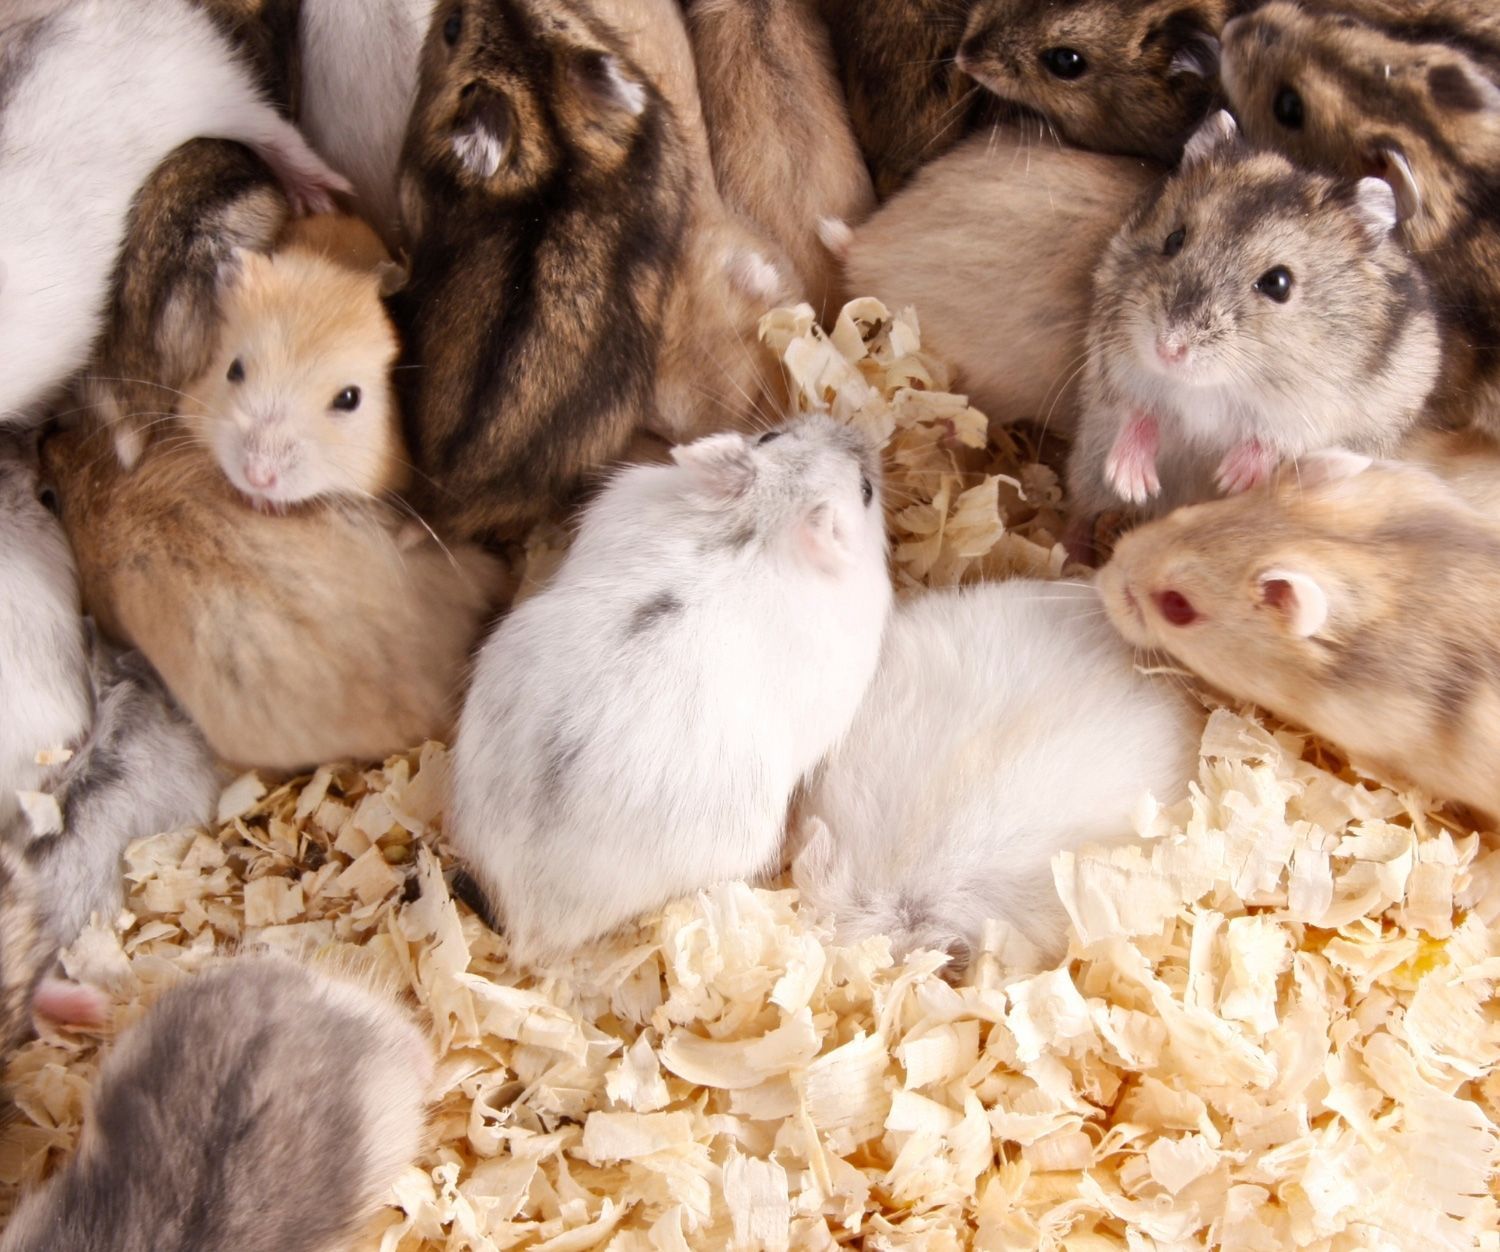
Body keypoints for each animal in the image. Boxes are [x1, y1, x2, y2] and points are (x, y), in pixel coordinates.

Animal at [1067, 110, 1440, 527]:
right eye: (1174, 239)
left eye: (1279, 283)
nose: (1168, 349)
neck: (1212, 385)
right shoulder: (1116, 363)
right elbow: (1138, 411)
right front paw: (1132, 483)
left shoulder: (1320, 412)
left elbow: (1273, 439)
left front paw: (1230, 479)